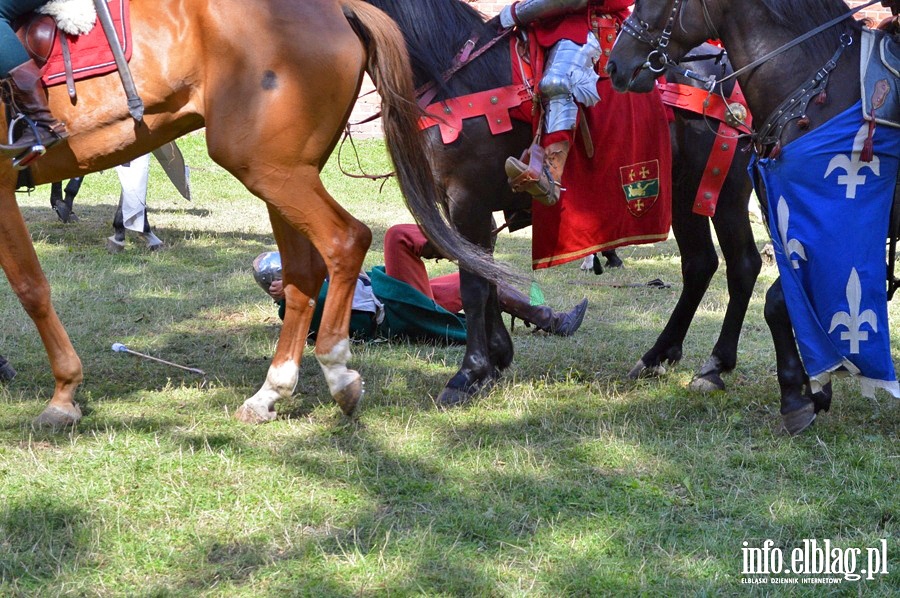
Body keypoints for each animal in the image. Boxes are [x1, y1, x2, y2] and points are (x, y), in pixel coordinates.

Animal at [1, 1, 500, 432]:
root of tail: (338, 7)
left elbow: (31, 289)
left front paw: (64, 395)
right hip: (283, 171)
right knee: (303, 272)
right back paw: (271, 393)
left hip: (267, 168)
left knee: (346, 239)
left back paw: (337, 371)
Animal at [364, 0, 760, 408]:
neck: (456, 77)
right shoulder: (469, 209)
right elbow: (487, 277)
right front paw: (497, 357)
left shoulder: (467, 202)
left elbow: (473, 286)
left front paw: (469, 374)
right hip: (683, 193)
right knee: (699, 265)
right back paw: (657, 356)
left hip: (724, 193)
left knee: (743, 265)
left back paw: (714, 366)